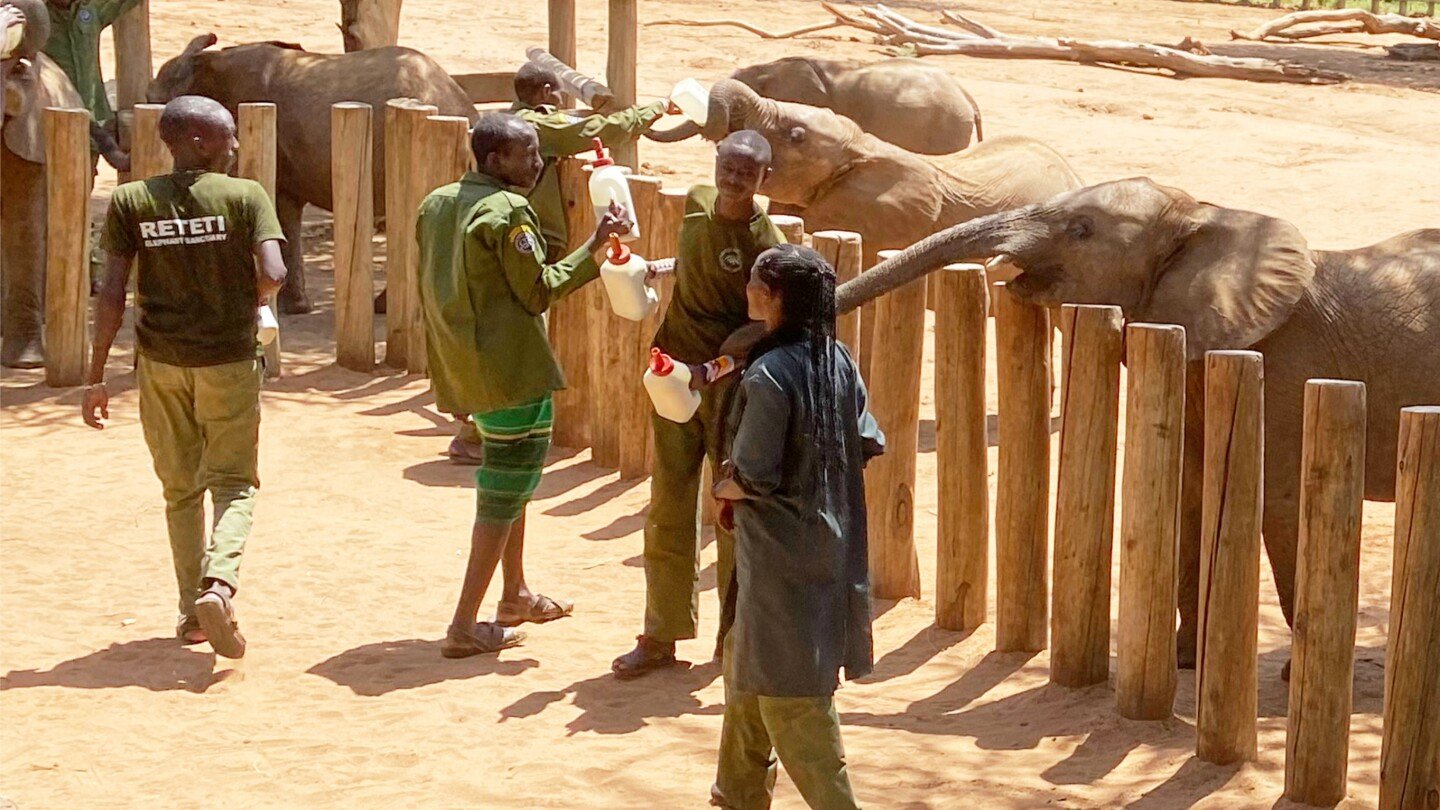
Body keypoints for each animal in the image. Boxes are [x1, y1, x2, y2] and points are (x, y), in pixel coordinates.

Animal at [835, 177, 1440, 668]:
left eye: (1080, 230)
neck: (1204, 214)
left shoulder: (1288, 367)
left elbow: (1281, 501)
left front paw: (1293, 676)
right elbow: (1192, 491)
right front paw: (1183, 663)